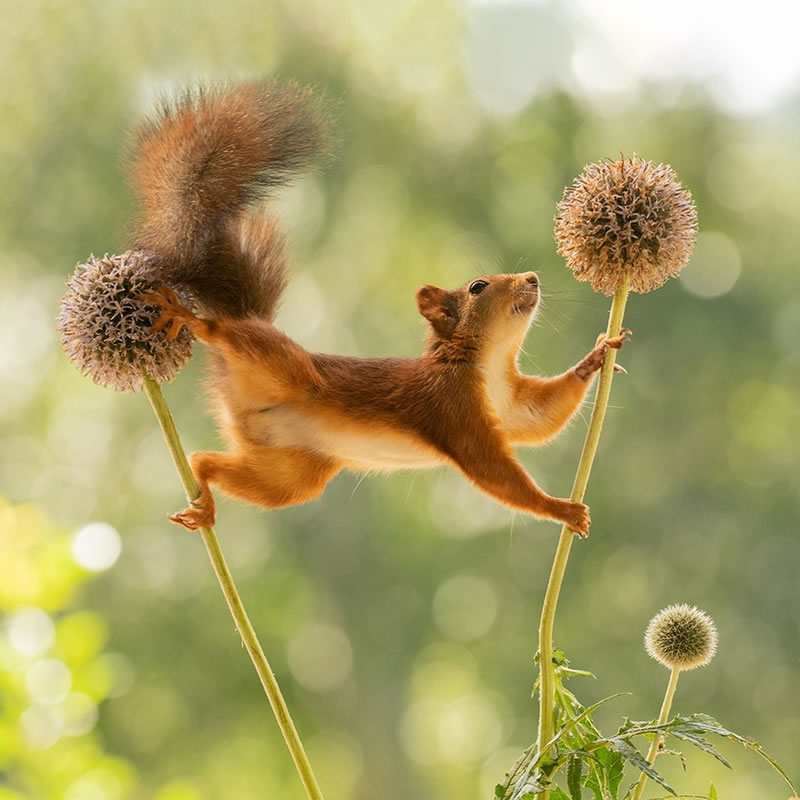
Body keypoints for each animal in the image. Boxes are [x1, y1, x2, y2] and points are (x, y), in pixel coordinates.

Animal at [131, 81, 628, 536]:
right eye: (478, 286)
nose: (533, 280)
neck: (488, 364)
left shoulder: (511, 406)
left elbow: (540, 417)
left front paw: (598, 355)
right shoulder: (451, 408)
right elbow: (492, 470)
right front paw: (560, 509)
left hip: (291, 474)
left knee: (211, 461)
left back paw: (202, 492)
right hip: (284, 368)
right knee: (224, 334)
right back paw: (190, 319)